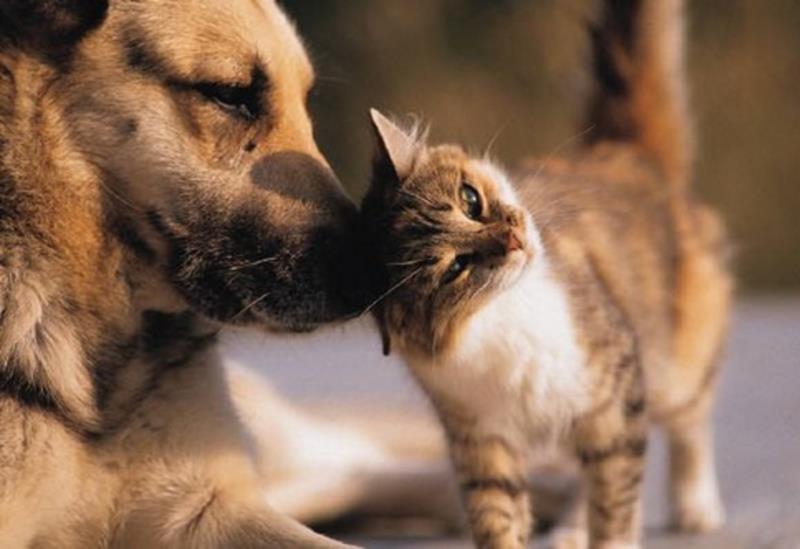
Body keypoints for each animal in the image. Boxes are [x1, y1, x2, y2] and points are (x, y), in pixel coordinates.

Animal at [360, 1, 732, 548]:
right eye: (456, 268)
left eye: (471, 200)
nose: (513, 240)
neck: (504, 317)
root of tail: (627, 154)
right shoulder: (482, 439)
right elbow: (498, 516)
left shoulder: (615, 400)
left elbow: (616, 506)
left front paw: (616, 535)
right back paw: (570, 531)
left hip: (677, 366)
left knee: (691, 423)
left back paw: (695, 505)